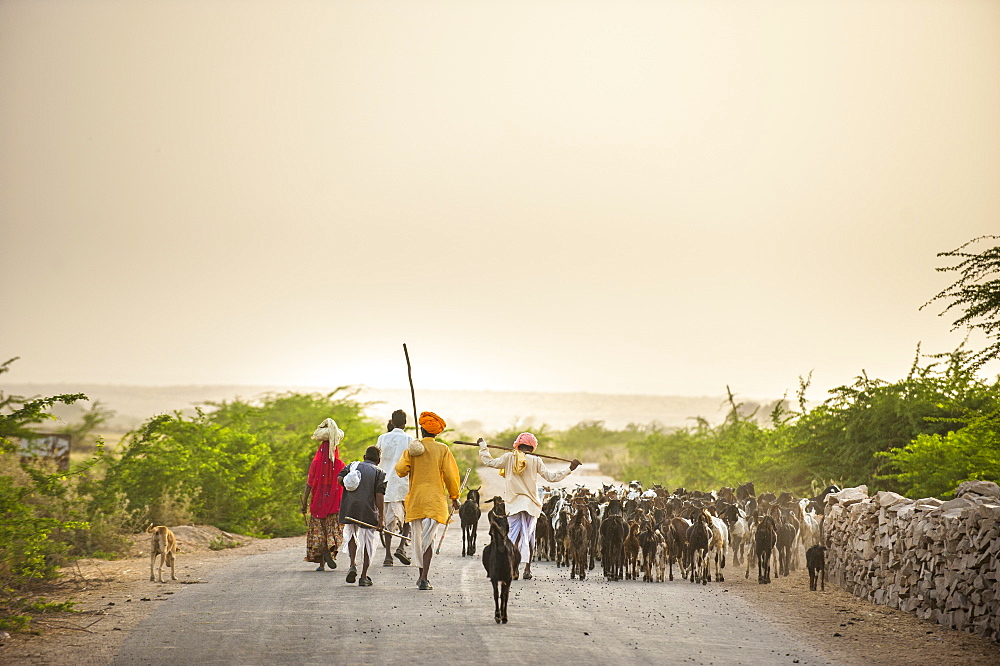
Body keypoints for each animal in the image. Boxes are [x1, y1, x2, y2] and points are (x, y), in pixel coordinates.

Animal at [480, 492, 520, 624]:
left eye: (507, 526)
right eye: (491, 532)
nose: (499, 501)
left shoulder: (508, 578)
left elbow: (505, 596)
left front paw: (504, 616)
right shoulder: (495, 577)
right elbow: (496, 594)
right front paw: (498, 615)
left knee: (504, 594)